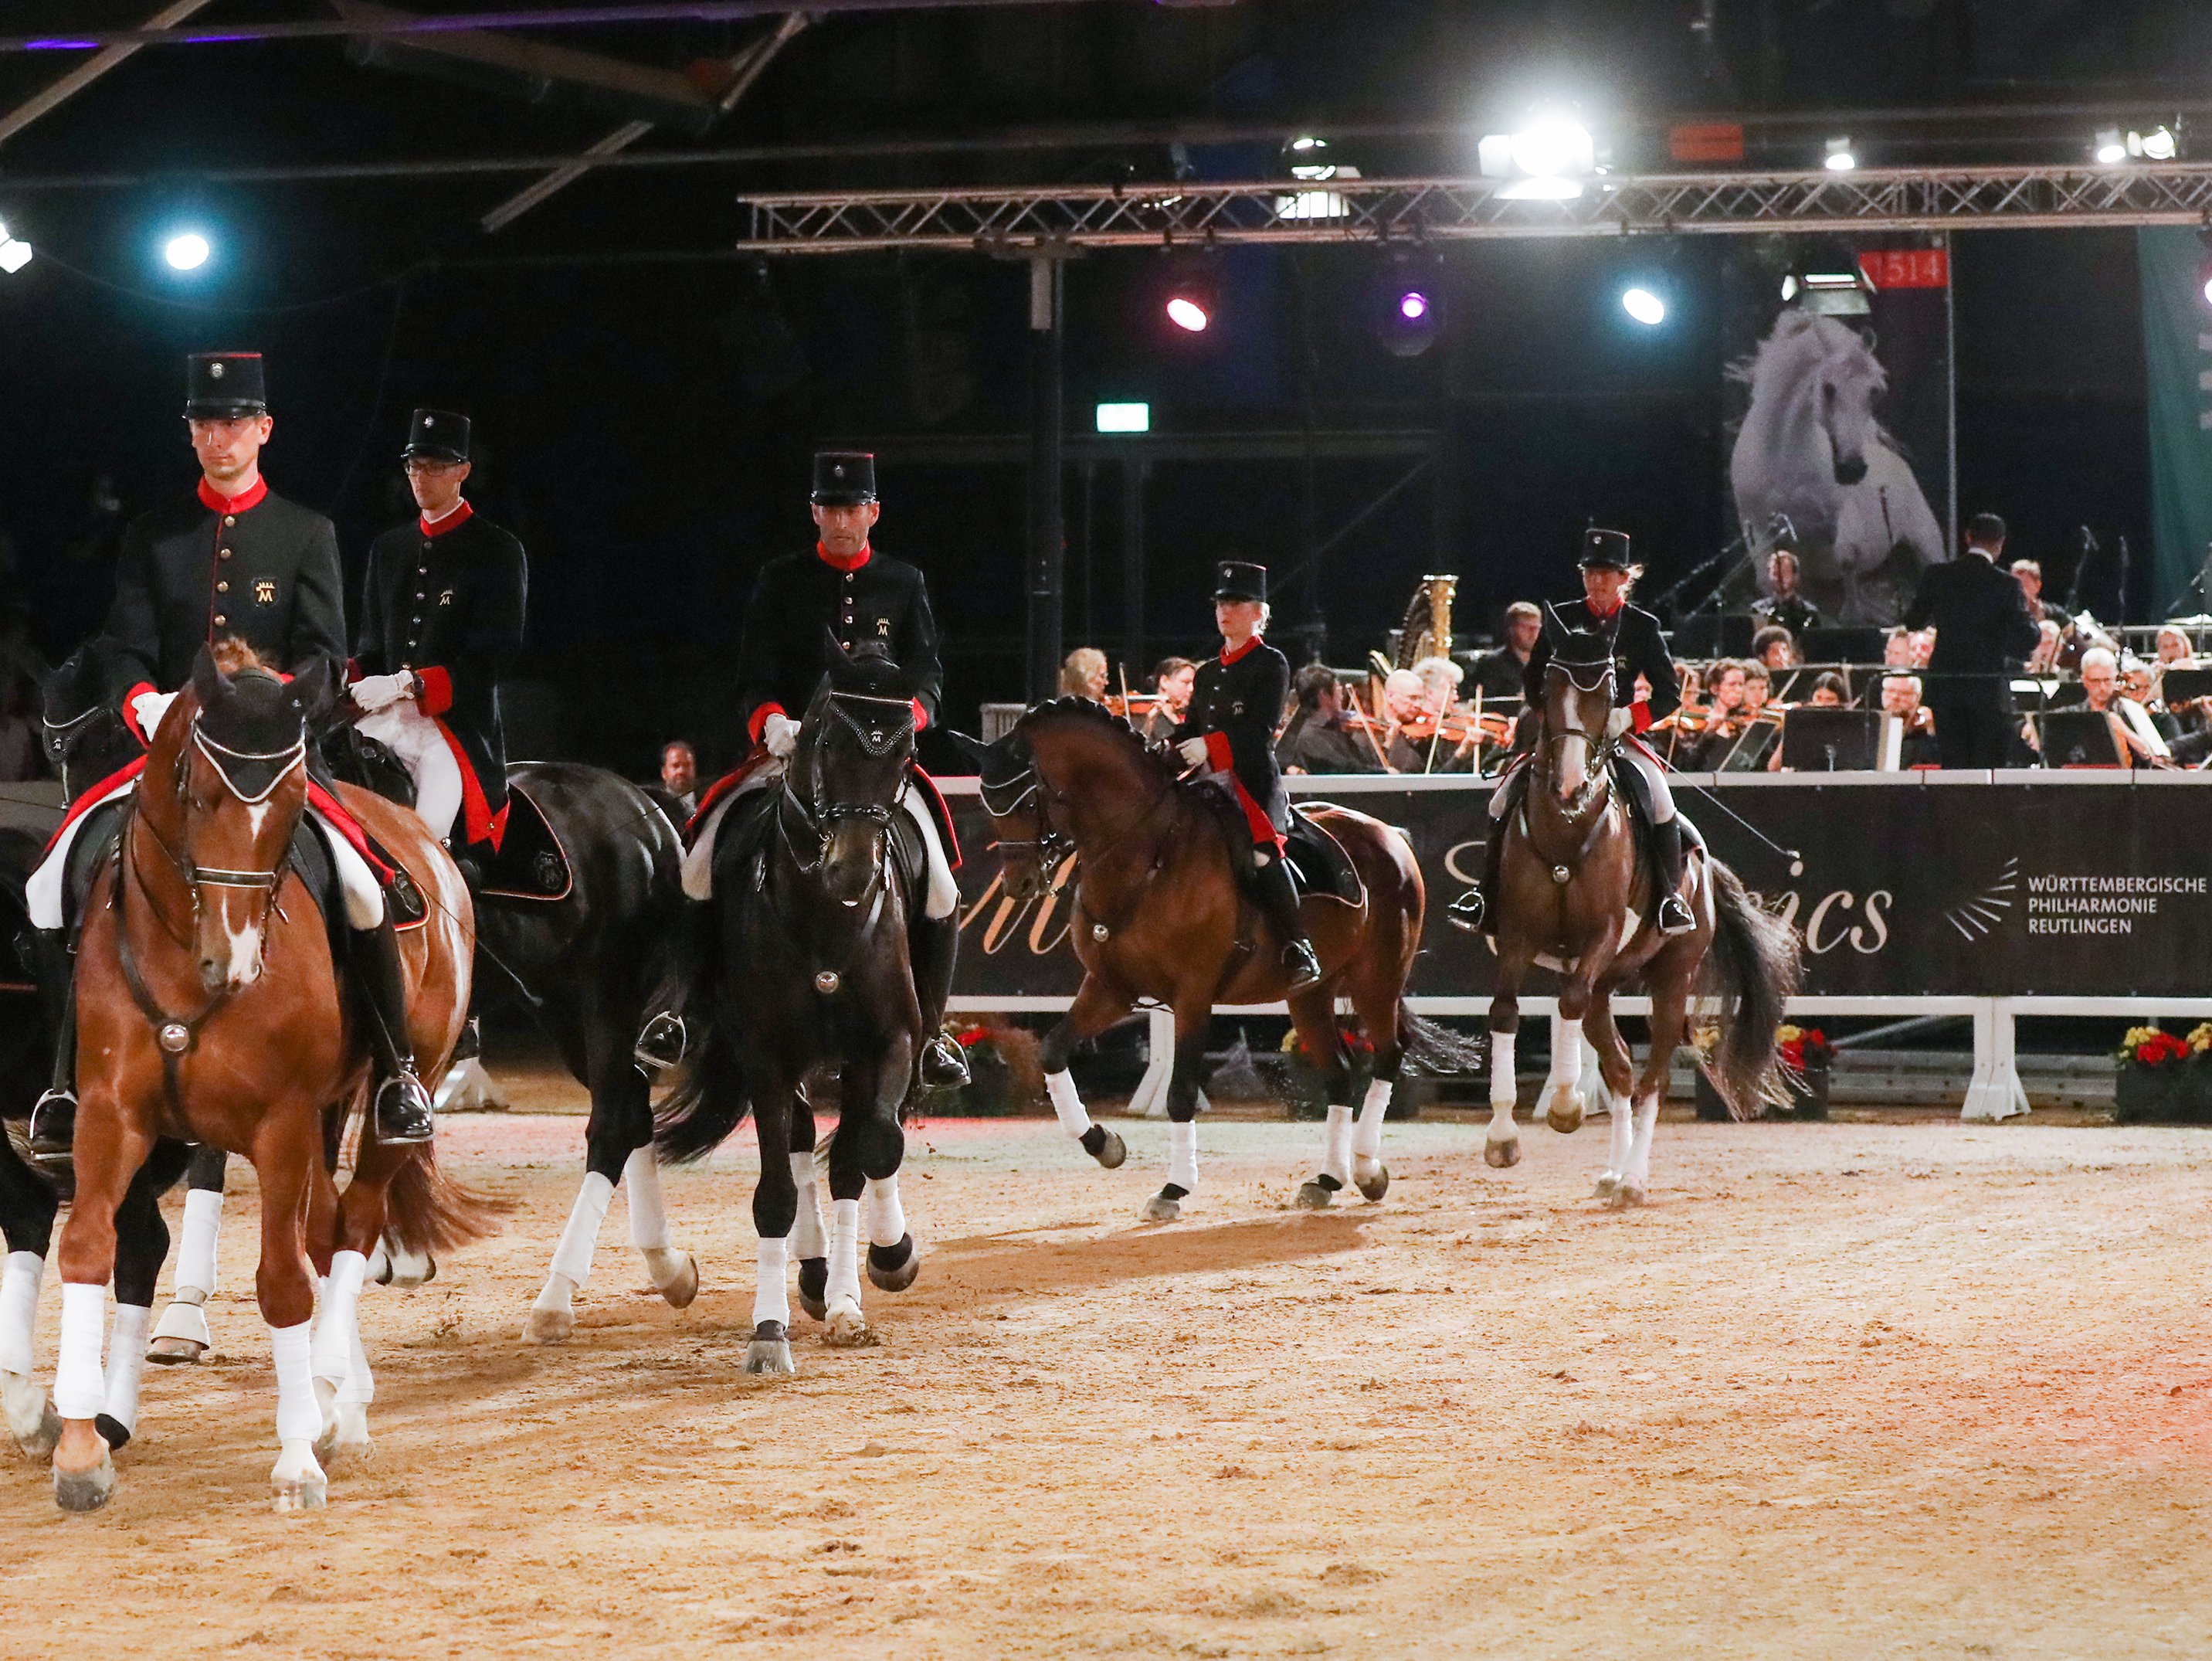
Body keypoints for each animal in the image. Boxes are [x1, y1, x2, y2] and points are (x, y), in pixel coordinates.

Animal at [47, 640, 496, 1512]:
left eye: (291, 804)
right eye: (197, 790)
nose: (236, 960)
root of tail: (422, 839)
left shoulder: (277, 1123)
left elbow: (283, 1281)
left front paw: (296, 1460)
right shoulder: (112, 1116)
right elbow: (88, 1245)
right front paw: (82, 1451)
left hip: (395, 1092)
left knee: (352, 1227)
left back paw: (332, 1404)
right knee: (326, 1228)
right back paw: (335, 1391)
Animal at [654, 637, 939, 1374]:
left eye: (905, 752)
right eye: (828, 741)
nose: (853, 871)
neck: (827, 918)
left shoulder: (889, 1042)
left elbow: (875, 1148)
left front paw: (886, 1263)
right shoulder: (767, 1059)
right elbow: (778, 1192)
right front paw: (769, 1330)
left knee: (845, 1156)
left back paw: (842, 1285)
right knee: (804, 1145)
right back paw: (811, 1275)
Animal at [952, 698, 1483, 1222]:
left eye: (1027, 801)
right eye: (987, 804)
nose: (1019, 884)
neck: (1147, 853)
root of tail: (1389, 834)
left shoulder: (1192, 993)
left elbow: (1181, 1091)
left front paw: (1173, 1189)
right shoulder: (1111, 988)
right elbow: (1052, 1052)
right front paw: (1105, 1145)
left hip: (1378, 979)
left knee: (1389, 1055)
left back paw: (1369, 1169)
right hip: (1312, 995)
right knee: (1340, 1073)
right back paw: (1327, 1180)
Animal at [1483, 617, 1801, 1204]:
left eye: (1609, 691)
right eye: (1547, 688)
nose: (1570, 786)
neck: (1567, 834)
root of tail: (1704, 869)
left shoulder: (1603, 934)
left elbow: (1566, 1003)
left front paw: (1566, 1107)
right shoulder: (1518, 936)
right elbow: (1506, 1013)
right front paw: (1502, 1139)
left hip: (1672, 979)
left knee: (1651, 1076)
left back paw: (1632, 1180)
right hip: (1608, 984)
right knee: (1620, 1070)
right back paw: (1614, 1172)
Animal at [1729, 308, 1946, 624]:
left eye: (1874, 391)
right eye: (1829, 388)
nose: (1852, 470)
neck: (1782, 460)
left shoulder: (1841, 520)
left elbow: (1847, 559)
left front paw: (1851, 614)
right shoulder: (1757, 528)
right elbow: (1768, 580)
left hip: (1927, 544)